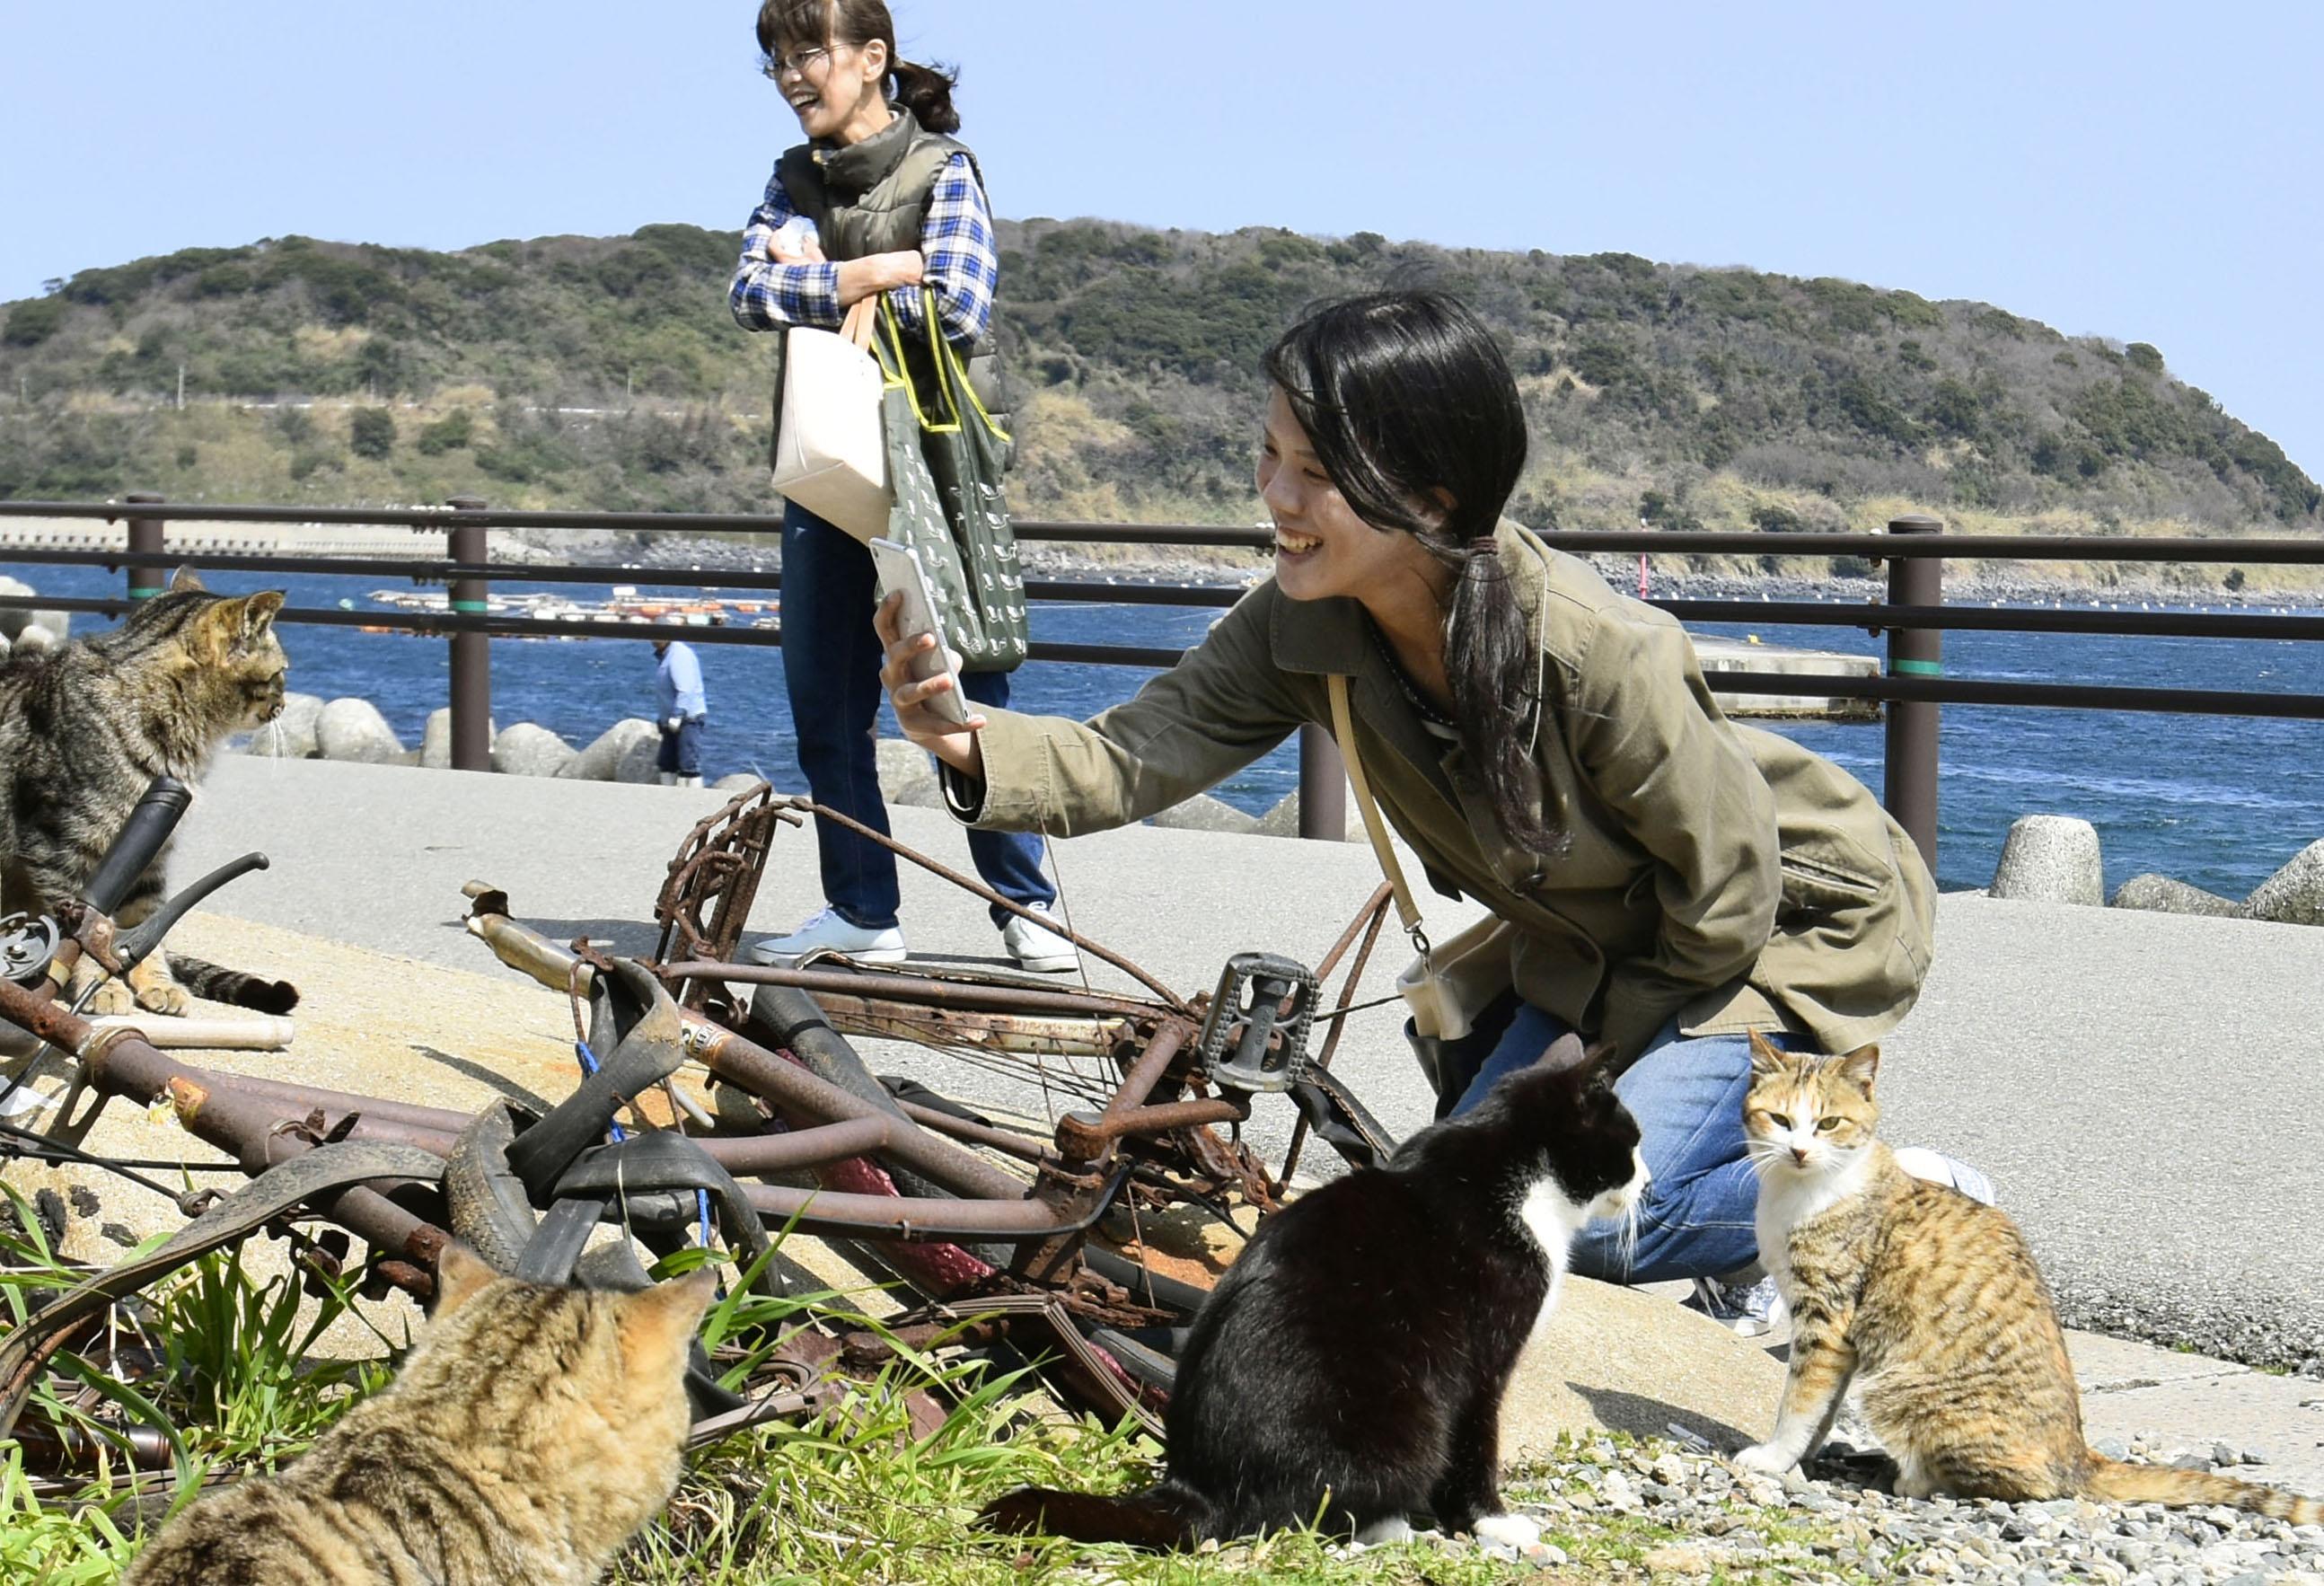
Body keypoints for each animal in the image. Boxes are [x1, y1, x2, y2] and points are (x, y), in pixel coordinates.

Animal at [0, 567, 297, 1013]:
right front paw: (101, 988)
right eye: (281, 672)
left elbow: (143, 922)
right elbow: (81, 931)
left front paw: (157, 982)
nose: (284, 704)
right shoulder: (58, 847)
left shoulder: (152, 850)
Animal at [981, 1036, 1654, 1544]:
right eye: (1632, 1143)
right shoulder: (1484, 1360)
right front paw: (1493, 1523)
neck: (1517, 1174)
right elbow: (1475, 1443)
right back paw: (1392, 1527)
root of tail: (1195, 1486)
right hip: (1403, 1424)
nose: (1649, 1182)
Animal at [1747, 1023, 2324, 1516]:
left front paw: (1774, 1458)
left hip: (1898, 1389)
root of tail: (2080, 1454)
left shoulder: (1827, 1317)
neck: (1802, 1191)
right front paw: (1803, 1457)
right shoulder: (1835, 1332)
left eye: (1828, 1123)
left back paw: (1913, 1479)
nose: (1799, 1151)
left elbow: (1800, 1399)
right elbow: (1820, 1407)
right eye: (1780, 1120)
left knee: (2027, 1485)